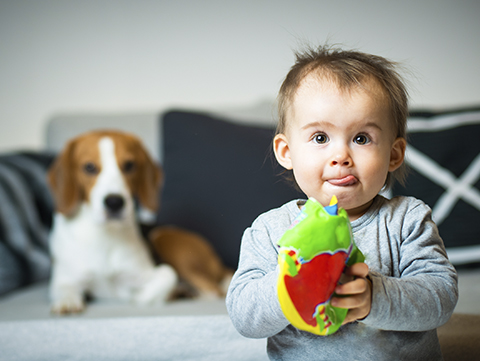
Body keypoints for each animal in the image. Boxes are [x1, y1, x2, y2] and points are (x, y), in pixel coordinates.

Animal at [47, 129, 178, 312]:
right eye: (89, 167)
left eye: (129, 165)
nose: (114, 202)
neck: (104, 235)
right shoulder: (64, 279)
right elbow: (64, 289)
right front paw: (68, 301)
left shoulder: (142, 274)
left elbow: (169, 274)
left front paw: (139, 298)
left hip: (163, 237)